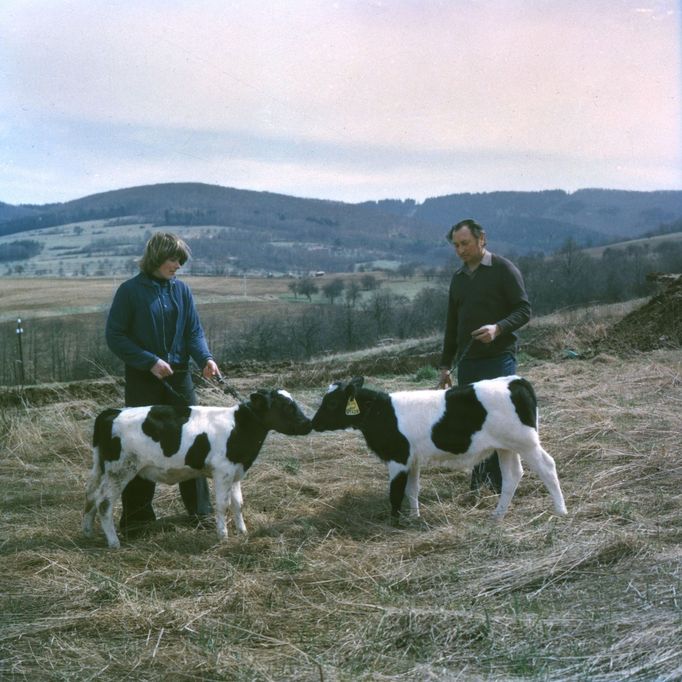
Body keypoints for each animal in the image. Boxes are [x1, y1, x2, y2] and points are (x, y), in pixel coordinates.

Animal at [81, 388, 310, 548]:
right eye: (286, 406)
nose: (308, 423)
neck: (239, 427)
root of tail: (112, 412)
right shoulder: (222, 472)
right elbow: (223, 505)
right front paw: (223, 536)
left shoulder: (236, 472)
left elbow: (238, 504)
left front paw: (243, 531)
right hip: (120, 470)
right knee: (104, 503)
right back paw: (114, 542)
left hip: (102, 469)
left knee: (90, 496)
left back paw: (87, 533)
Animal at [310, 378, 564, 520]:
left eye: (332, 402)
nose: (313, 423)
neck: (382, 412)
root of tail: (514, 381)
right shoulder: (412, 459)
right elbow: (412, 490)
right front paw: (414, 517)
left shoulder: (397, 457)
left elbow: (395, 492)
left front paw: (394, 522)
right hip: (506, 446)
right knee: (512, 476)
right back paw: (497, 515)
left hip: (526, 442)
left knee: (547, 466)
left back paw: (560, 511)